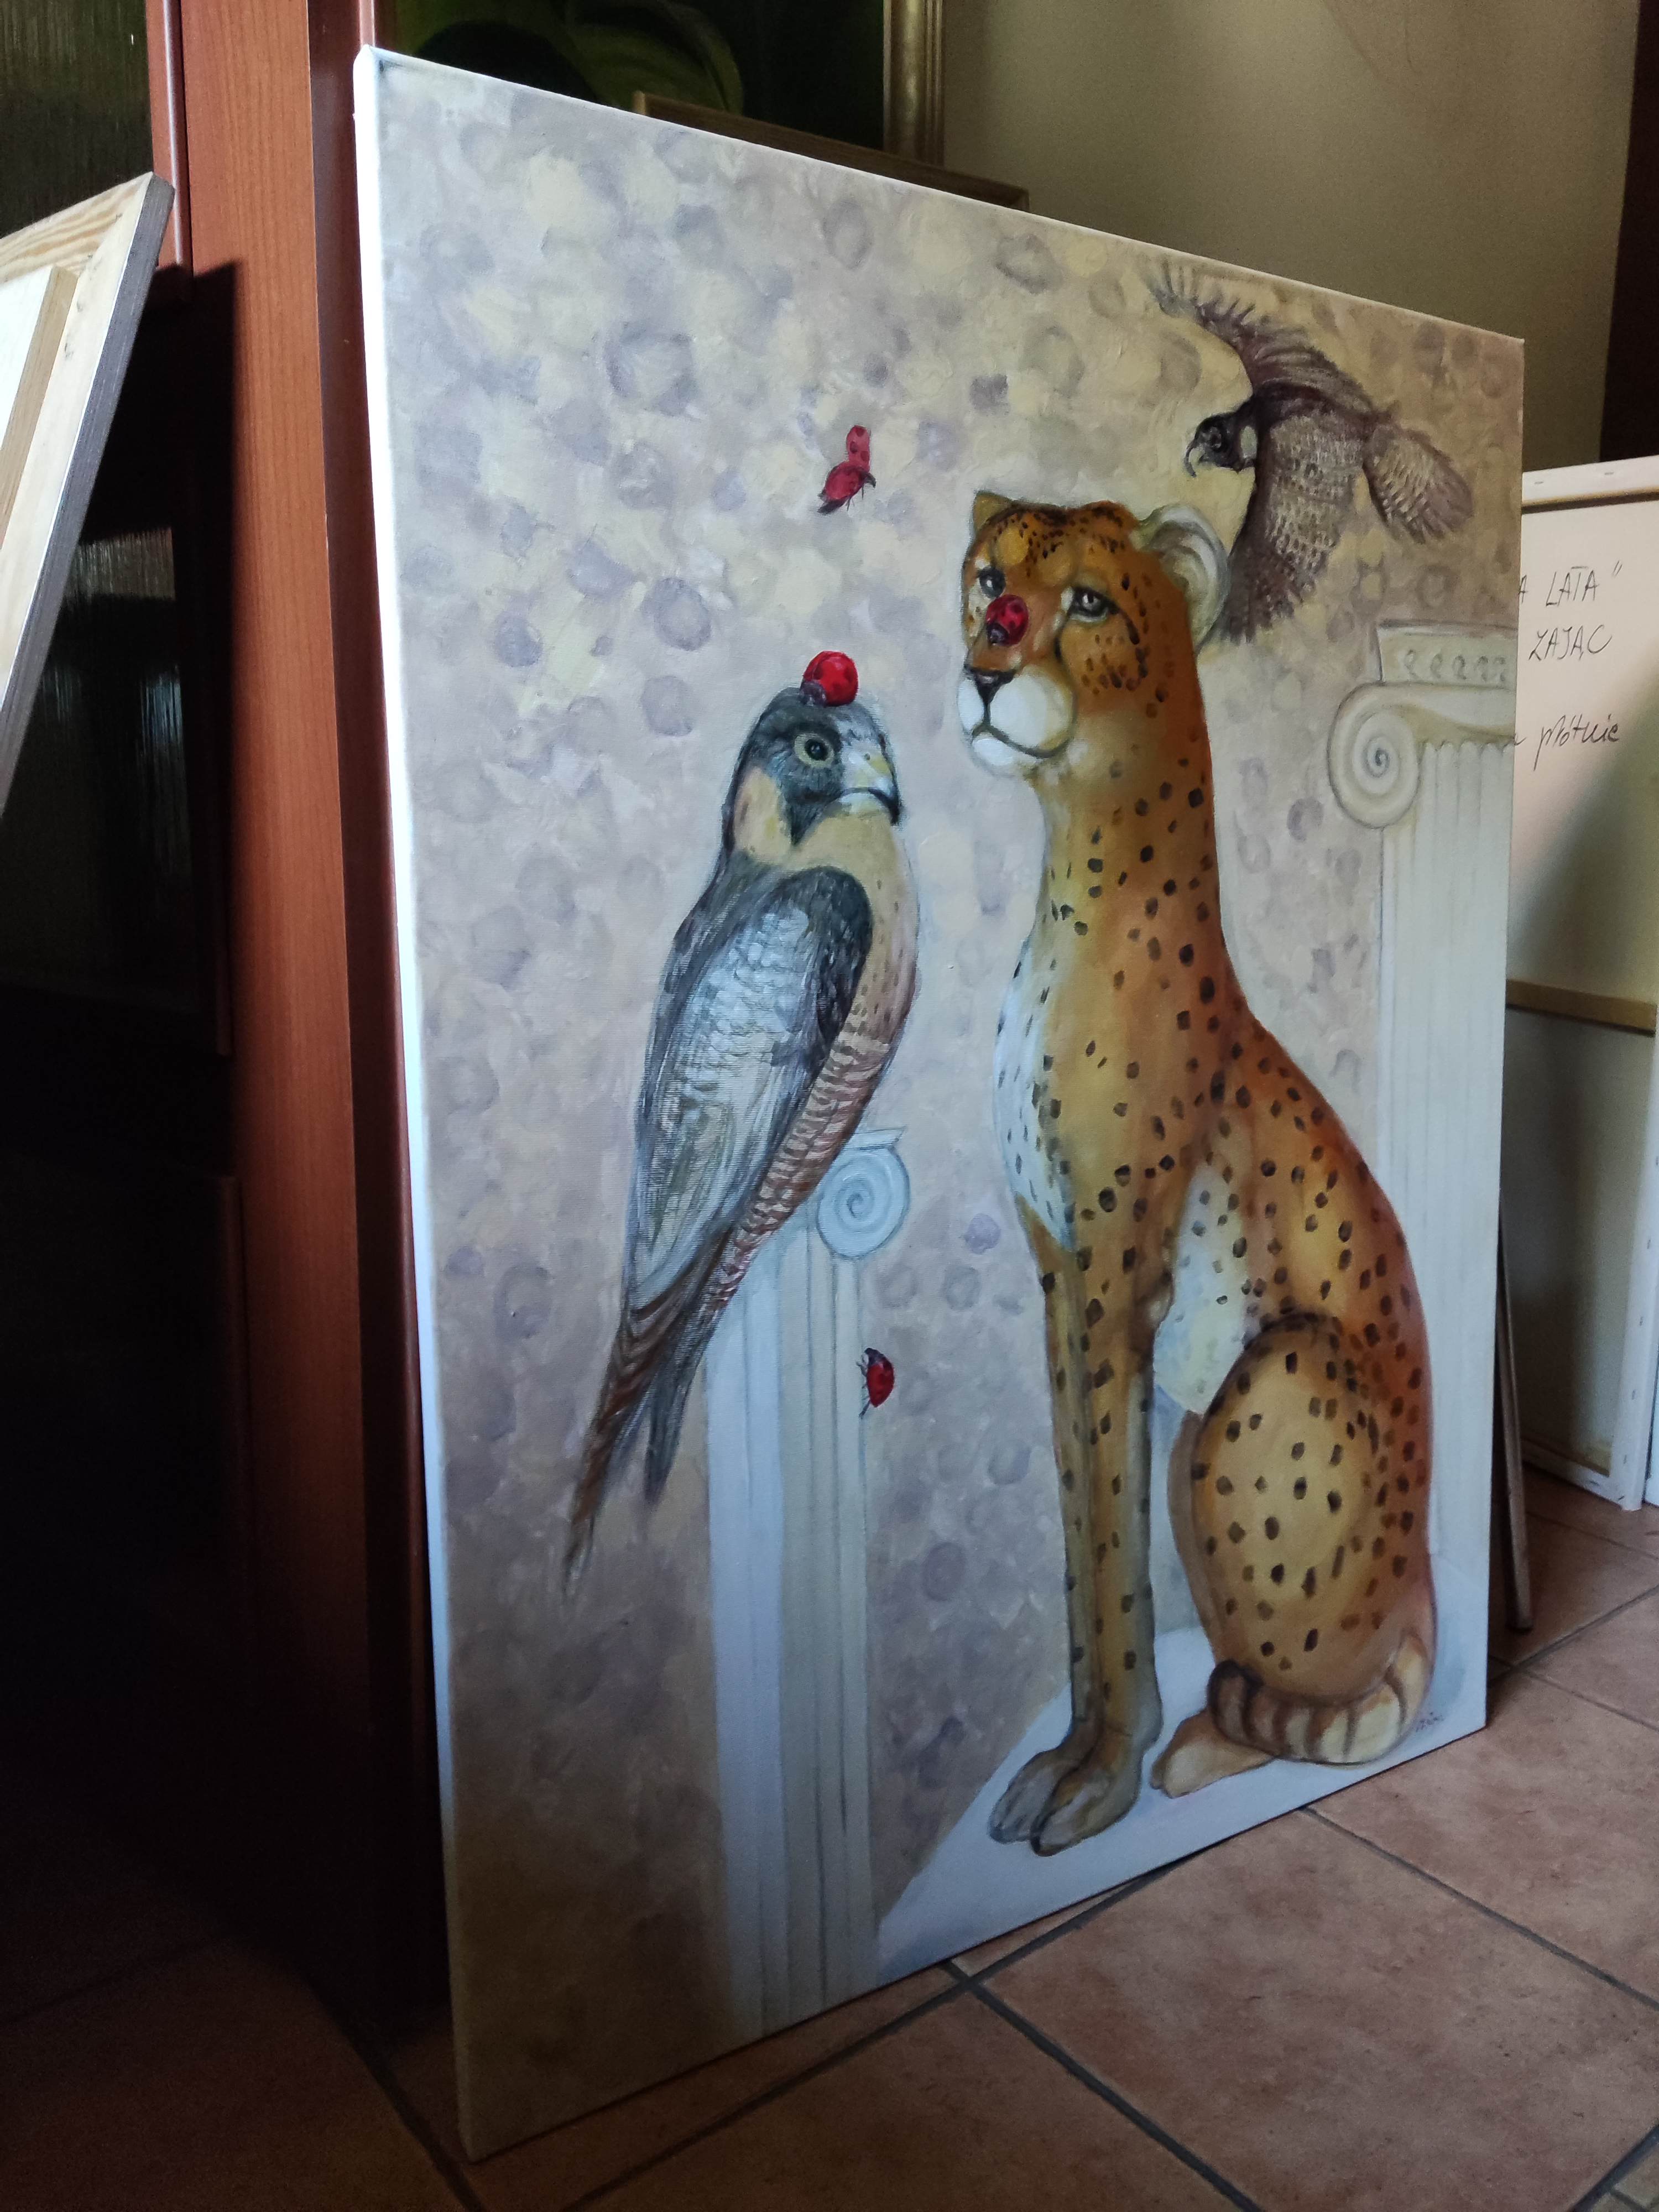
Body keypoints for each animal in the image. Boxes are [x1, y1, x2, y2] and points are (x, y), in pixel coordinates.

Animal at [957, 491, 1435, 1856]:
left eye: (1087, 602)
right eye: (989, 580)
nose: (987, 661)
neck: (1082, 895)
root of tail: (1435, 1579)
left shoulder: (1122, 1282)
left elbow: (1115, 1562)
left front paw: (1101, 1781)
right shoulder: (1060, 1281)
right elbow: (1082, 1529)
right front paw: (1067, 1757)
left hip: (1264, 1385)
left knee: (1315, 1693)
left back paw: (1207, 1743)